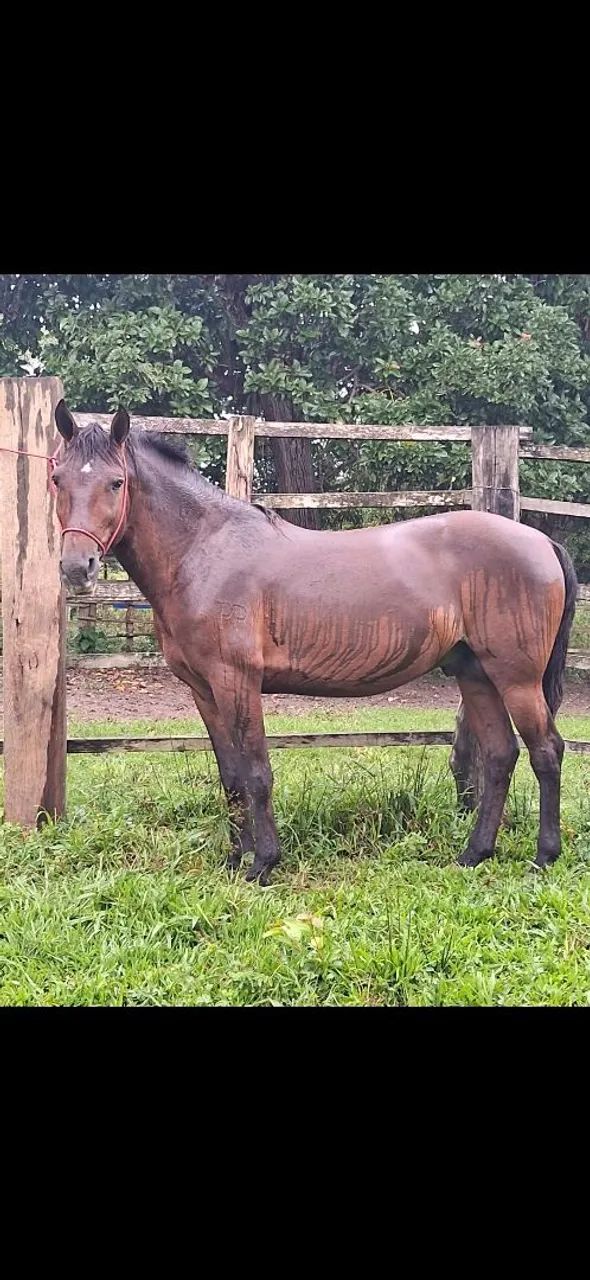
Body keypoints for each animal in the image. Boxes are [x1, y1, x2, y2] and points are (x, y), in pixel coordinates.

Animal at [53, 402, 577, 884]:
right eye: (58, 478)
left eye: (115, 483)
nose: (78, 567)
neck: (204, 551)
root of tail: (541, 541)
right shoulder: (204, 690)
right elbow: (230, 776)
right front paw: (235, 859)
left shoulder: (237, 682)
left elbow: (256, 771)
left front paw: (263, 863)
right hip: (475, 673)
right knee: (501, 755)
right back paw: (475, 853)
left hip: (516, 678)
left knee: (546, 751)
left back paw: (543, 856)